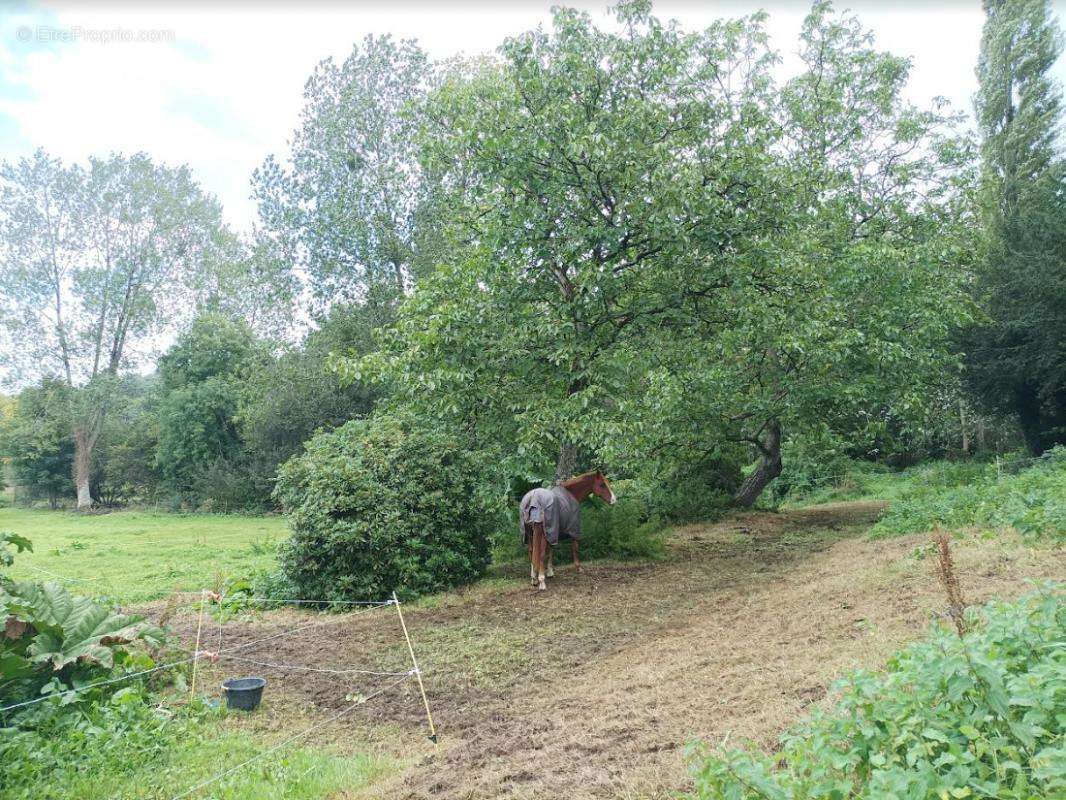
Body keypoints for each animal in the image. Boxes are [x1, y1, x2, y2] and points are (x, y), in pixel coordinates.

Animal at [518, 469, 618, 597]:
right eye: (602, 485)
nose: (614, 500)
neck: (571, 494)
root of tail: (533, 498)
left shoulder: (553, 532)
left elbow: (551, 551)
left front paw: (550, 572)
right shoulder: (571, 530)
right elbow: (575, 548)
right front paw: (578, 568)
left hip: (530, 534)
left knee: (532, 552)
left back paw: (534, 578)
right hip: (541, 533)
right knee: (540, 554)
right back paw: (541, 581)